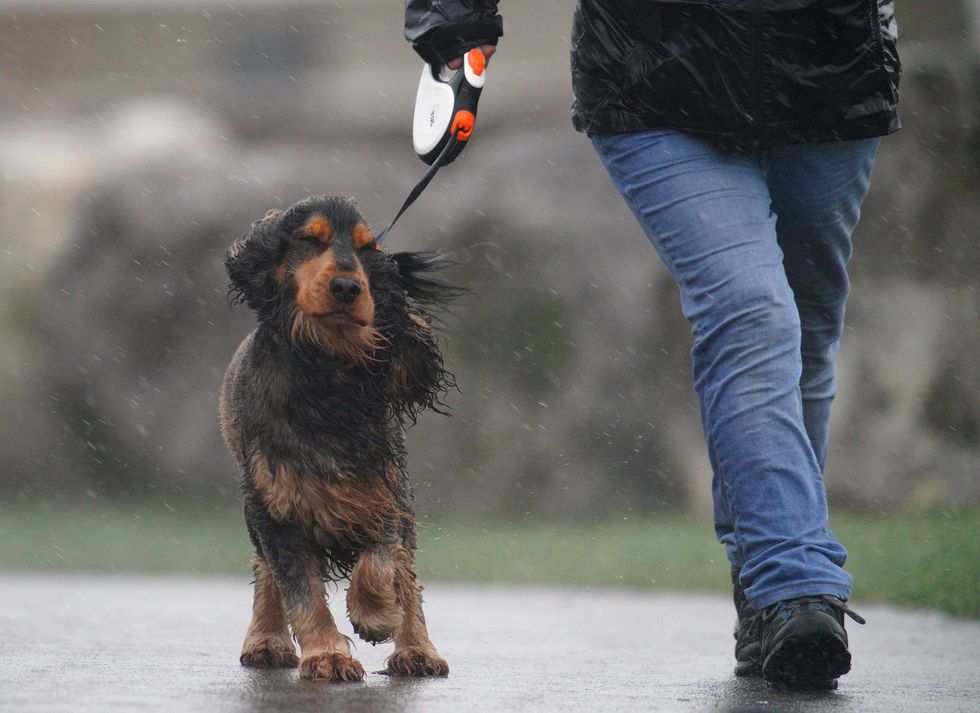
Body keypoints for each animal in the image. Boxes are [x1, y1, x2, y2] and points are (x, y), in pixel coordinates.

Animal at [218, 193, 456, 680]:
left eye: (368, 249)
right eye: (309, 240)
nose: (348, 287)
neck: (325, 368)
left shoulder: (381, 491)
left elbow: (383, 560)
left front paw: (375, 614)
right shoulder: (275, 506)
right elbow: (299, 589)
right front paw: (327, 654)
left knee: (407, 573)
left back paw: (417, 650)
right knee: (265, 570)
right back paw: (265, 640)